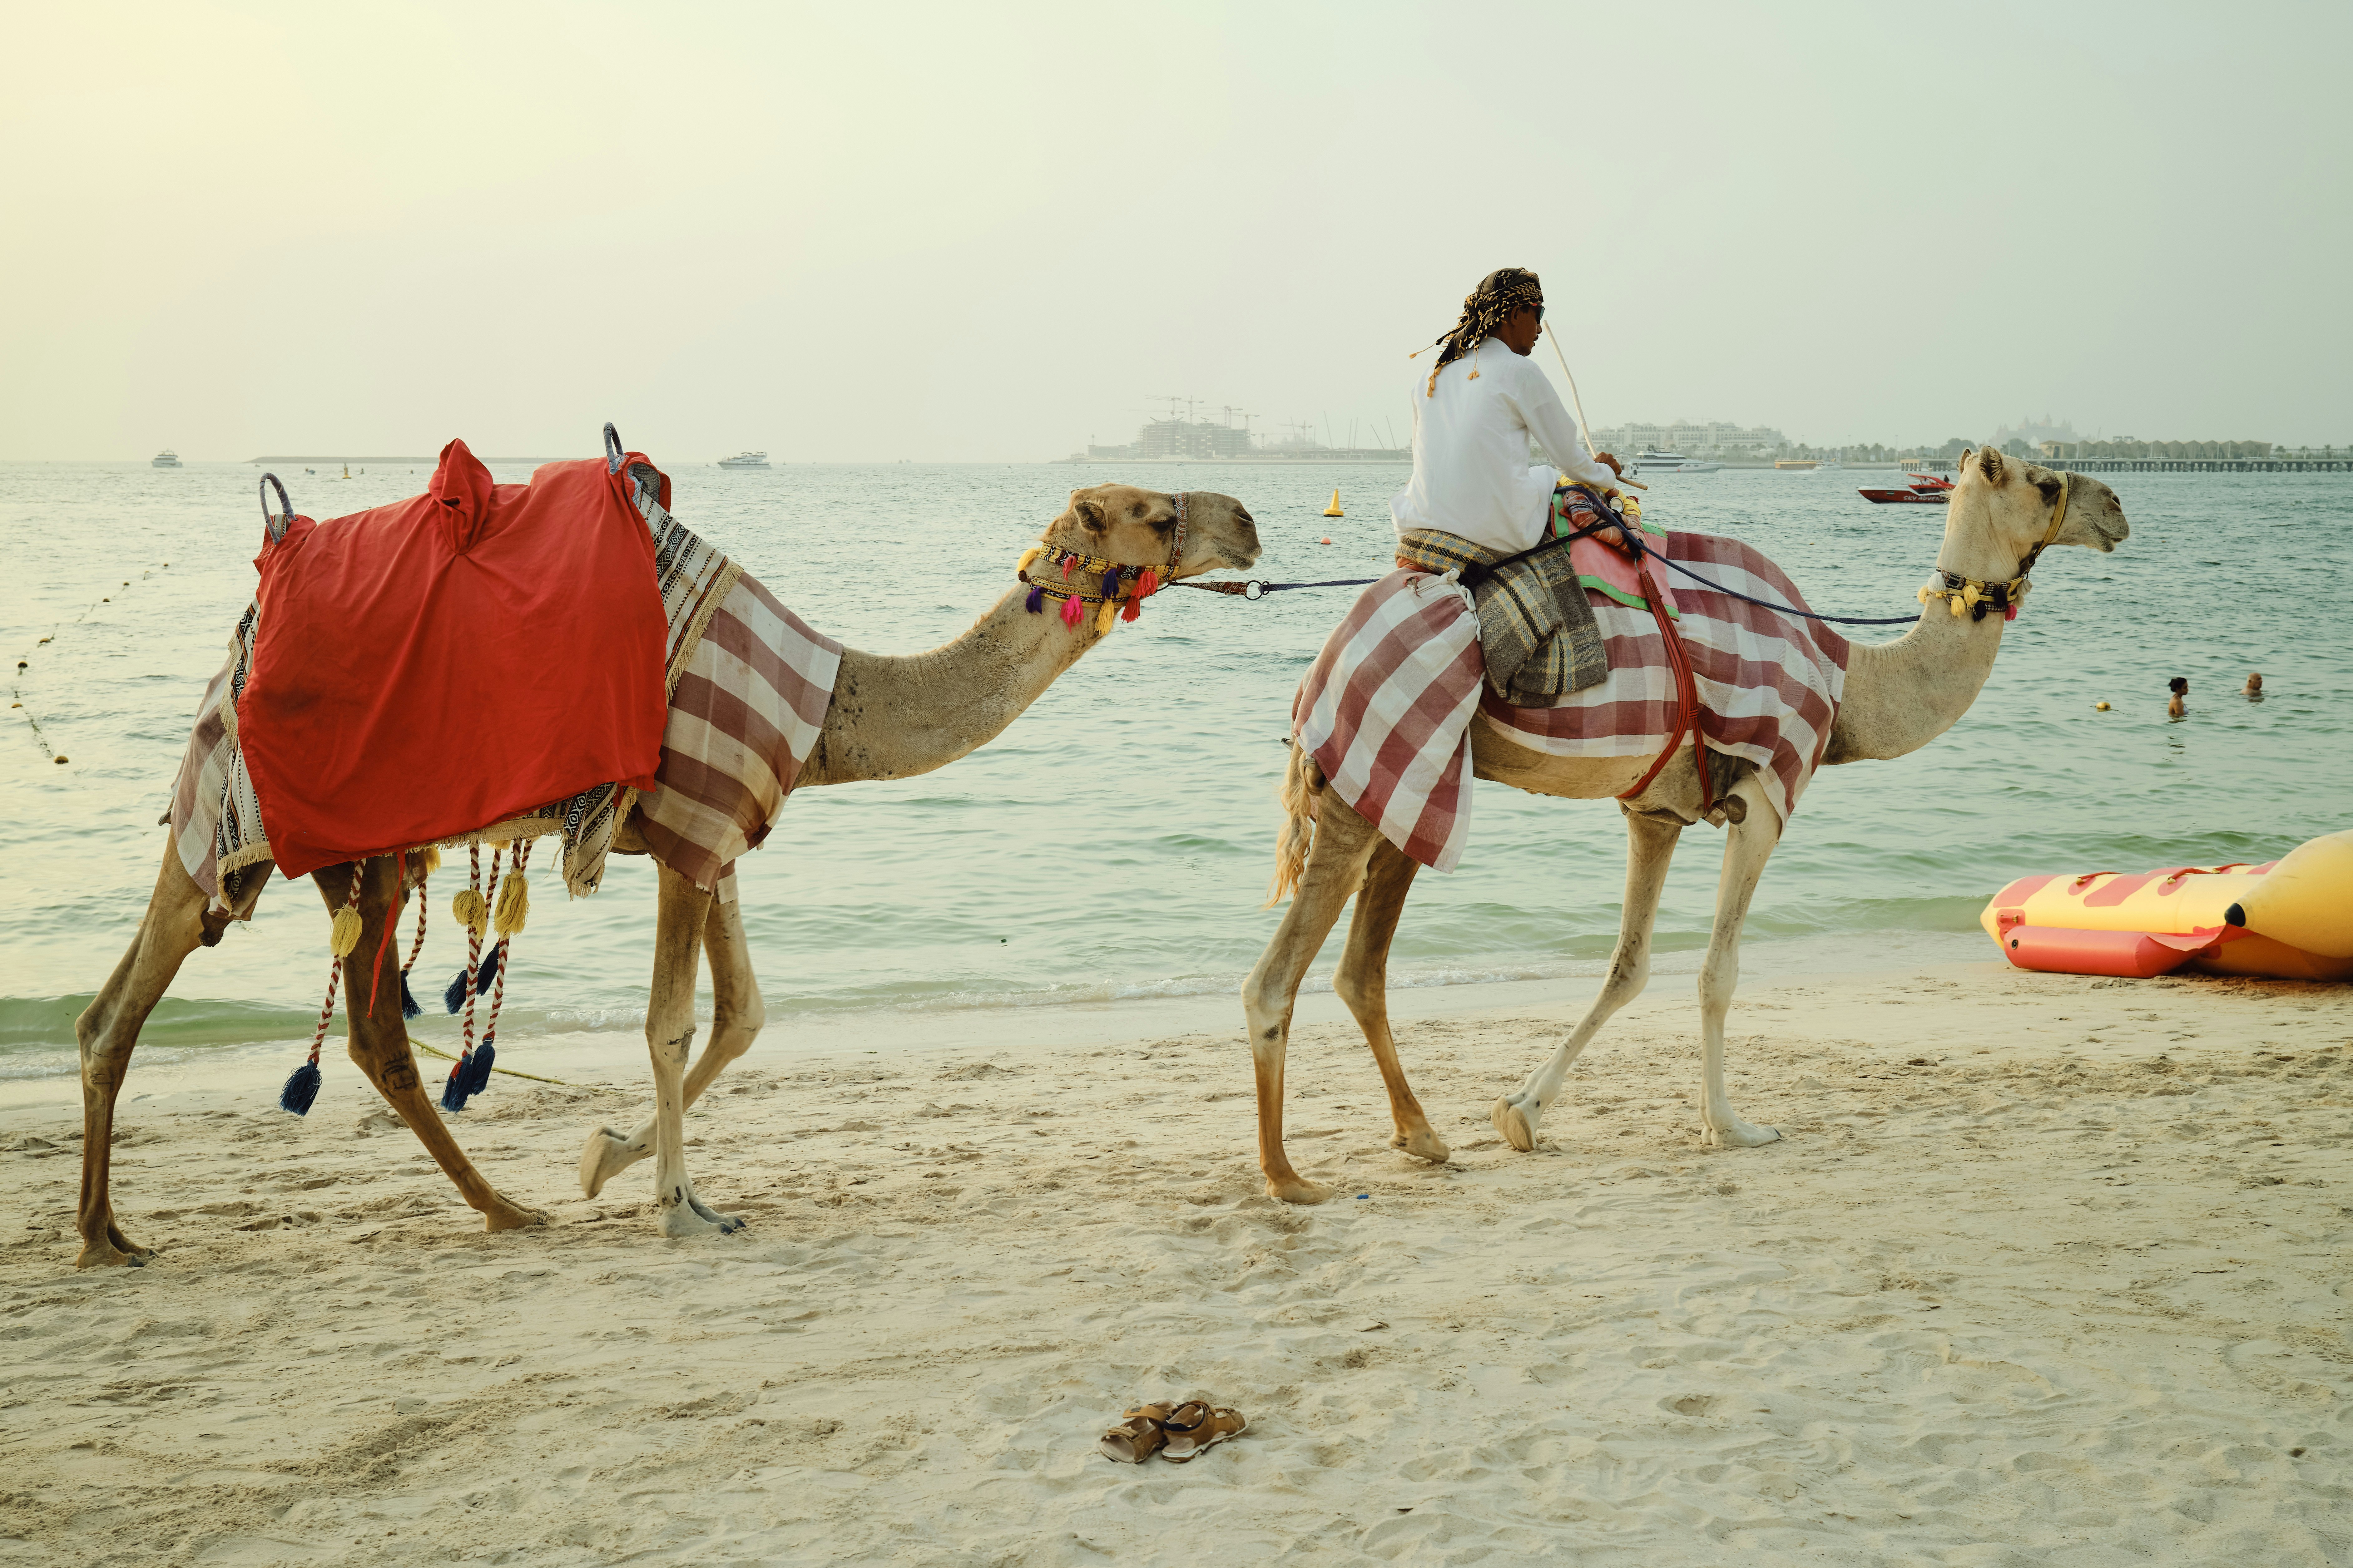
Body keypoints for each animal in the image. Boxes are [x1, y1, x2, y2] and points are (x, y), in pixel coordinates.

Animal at [71, 483, 1260, 1266]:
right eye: (1158, 513)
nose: (1248, 518)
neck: (833, 704)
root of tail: (234, 653)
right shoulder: (692, 820)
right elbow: (675, 1026)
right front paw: (677, 1205)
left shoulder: (720, 833)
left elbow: (743, 1015)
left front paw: (603, 1160)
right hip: (241, 818)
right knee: (133, 1004)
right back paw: (104, 1238)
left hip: (357, 854)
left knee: (357, 1033)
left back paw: (498, 1210)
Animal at [1240, 449, 2128, 1202]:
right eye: (2043, 482)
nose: (2117, 507)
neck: (1850, 684)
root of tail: (1328, 657)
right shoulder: (1765, 798)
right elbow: (1716, 972)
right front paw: (1731, 1126)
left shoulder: (1655, 811)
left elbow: (1627, 968)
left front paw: (1521, 1112)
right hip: (1375, 768)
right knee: (1275, 980)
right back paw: (1287, 1177)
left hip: (1405, 786)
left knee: (1360, 970)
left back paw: (1421, 1135)